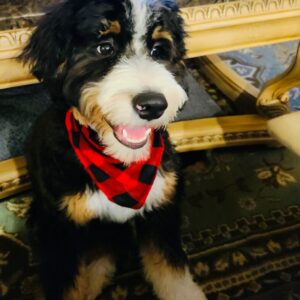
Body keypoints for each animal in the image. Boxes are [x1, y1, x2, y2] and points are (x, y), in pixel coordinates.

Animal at [21, 0, 207, 300]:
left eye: (159, 51)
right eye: (104, 48)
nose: (153, 105)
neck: (121, 165)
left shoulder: (161, 215)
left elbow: (172, 273)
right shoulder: (60, 234)